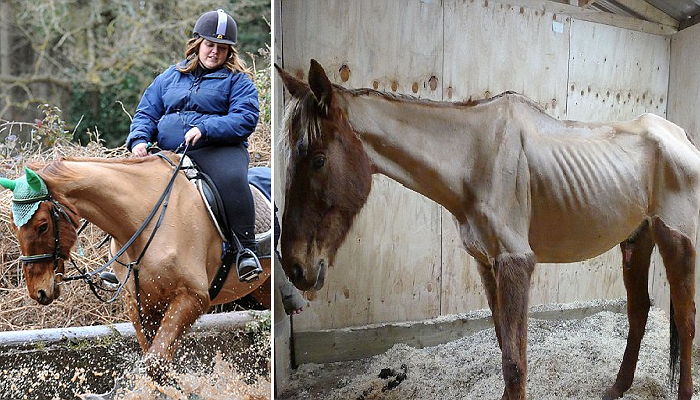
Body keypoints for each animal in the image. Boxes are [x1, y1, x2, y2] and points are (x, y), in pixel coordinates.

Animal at [1, 155, 270, 390]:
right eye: (14, 226)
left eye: (42, 226)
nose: (38, 292)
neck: (143, 222)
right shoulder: (140, 302)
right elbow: (154, 360)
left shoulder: (193, 297)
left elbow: (156, 363)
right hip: (262, 288)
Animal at [276, 60, 696, 400]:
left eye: (317, 160)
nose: (295, 266)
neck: (477, 158)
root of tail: (683, 138)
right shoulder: (487, 263)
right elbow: (504, 348)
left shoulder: (515, 263)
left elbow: (515, 364)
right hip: (636, 241)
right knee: (639, 313)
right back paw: (617, 387)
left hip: (677, 242)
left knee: (686, 322)